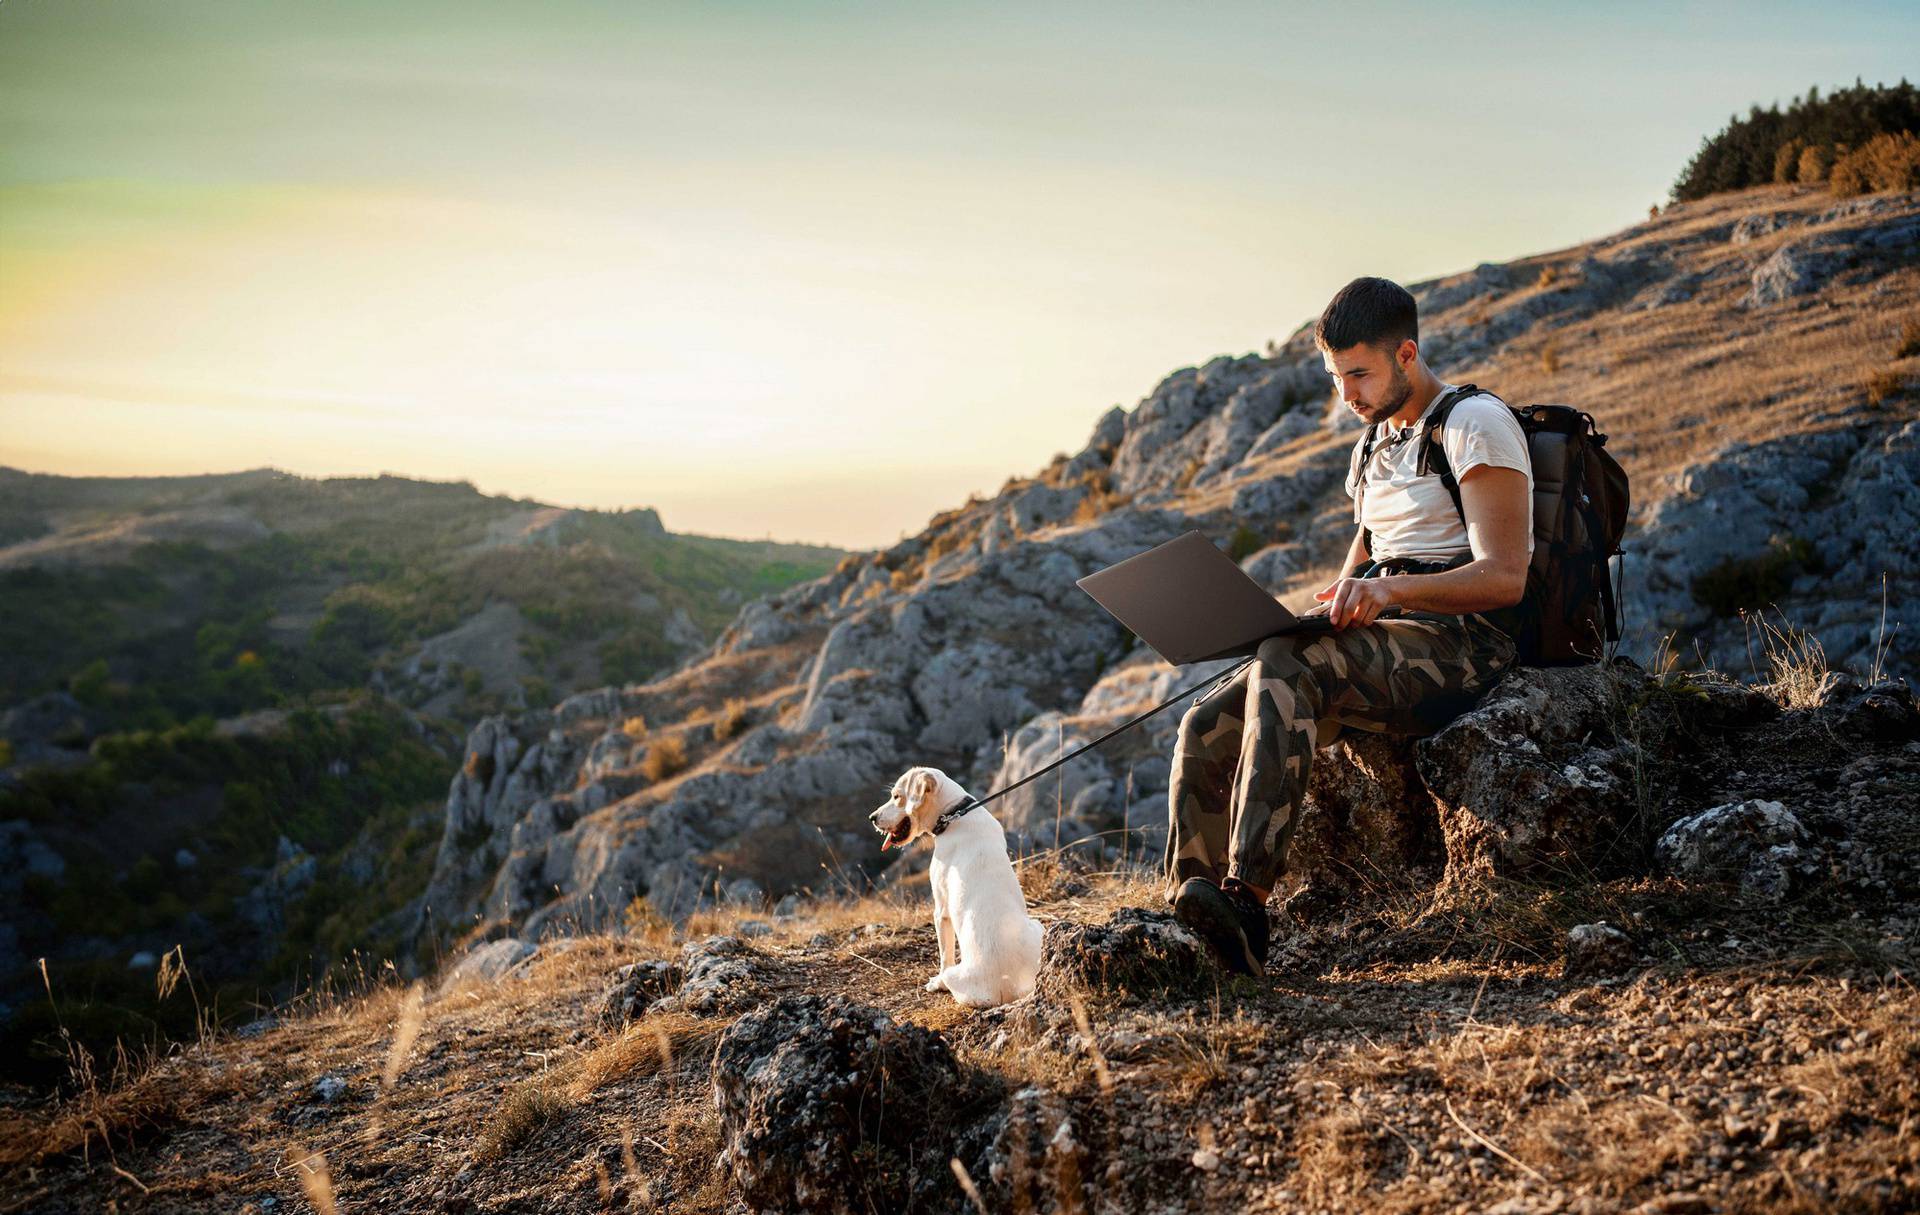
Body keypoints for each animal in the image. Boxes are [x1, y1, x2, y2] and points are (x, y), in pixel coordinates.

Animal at [875, 767, 1044, 1005]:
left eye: (896, 796)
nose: (872, 818)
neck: (954, 814)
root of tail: (1010, 987)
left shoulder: (941, 912)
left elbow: (944, 954)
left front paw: (936, 983)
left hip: (955, 973)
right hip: (1039, 927)